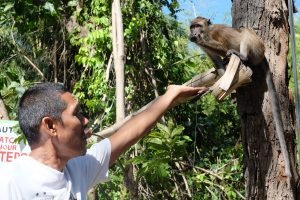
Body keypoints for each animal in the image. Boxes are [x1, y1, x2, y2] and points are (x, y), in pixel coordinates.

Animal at [190, 16, 290, 177]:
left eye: (198, 26)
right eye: (192, 26)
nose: (193, 32)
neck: (207, 32)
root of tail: (262, 54)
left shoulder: (216, 33)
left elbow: (224, 48)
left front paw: (198, 39)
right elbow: (218, 63)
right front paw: (230, 90)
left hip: (257, 48)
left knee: (245, 33)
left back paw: (241, 55)